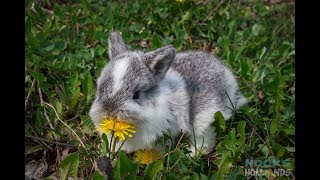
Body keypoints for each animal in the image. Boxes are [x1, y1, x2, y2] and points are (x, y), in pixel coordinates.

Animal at [90, 31, 248, 156]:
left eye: (136, 95)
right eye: (99, 88)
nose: (109, 111)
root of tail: (228, 77)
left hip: (205, 121)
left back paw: (192, 154)